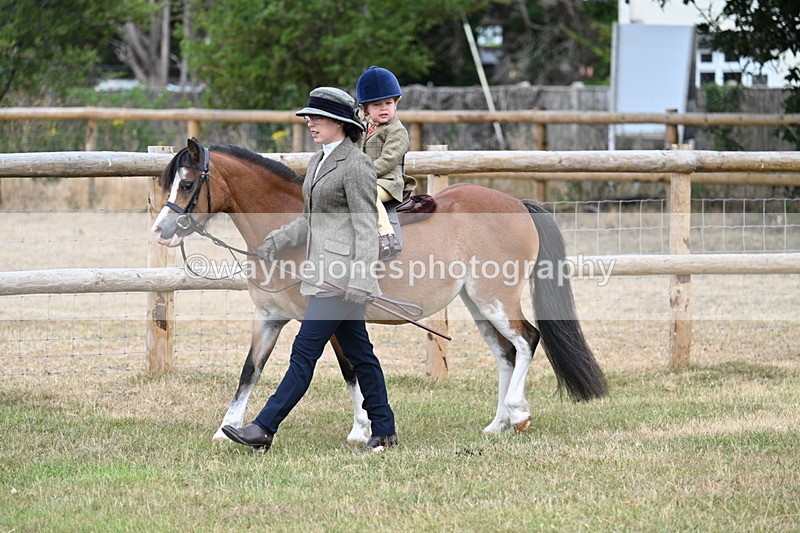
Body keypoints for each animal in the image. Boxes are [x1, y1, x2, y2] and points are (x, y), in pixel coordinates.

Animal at [150, 138, 607, 443]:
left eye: (187, 185)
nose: (161, 231)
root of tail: (517, 204)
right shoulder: (269, 319)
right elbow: (251, 371)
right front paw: (225, 429)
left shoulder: (326, 317)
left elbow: (348, 369)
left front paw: (360, 429)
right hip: (477, 303)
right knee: (505, 353)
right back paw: (497, 424)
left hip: (496, 298)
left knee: (528, 339)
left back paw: (518, 413)